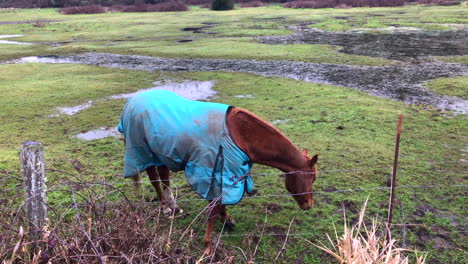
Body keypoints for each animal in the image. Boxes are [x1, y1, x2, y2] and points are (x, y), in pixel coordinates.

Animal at [119, 89, 320, 255]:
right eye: (313, 178)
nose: (309, 205)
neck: (239, 135)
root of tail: (132, 101)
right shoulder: (209, 173)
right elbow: (213, 210)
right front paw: (207, 248)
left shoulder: (226, 172)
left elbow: (223, 201)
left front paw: (227, 220)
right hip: (144, 152)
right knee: (155, 179)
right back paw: (166, 208)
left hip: (160, 154)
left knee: (163, 178)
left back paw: (174, 206)